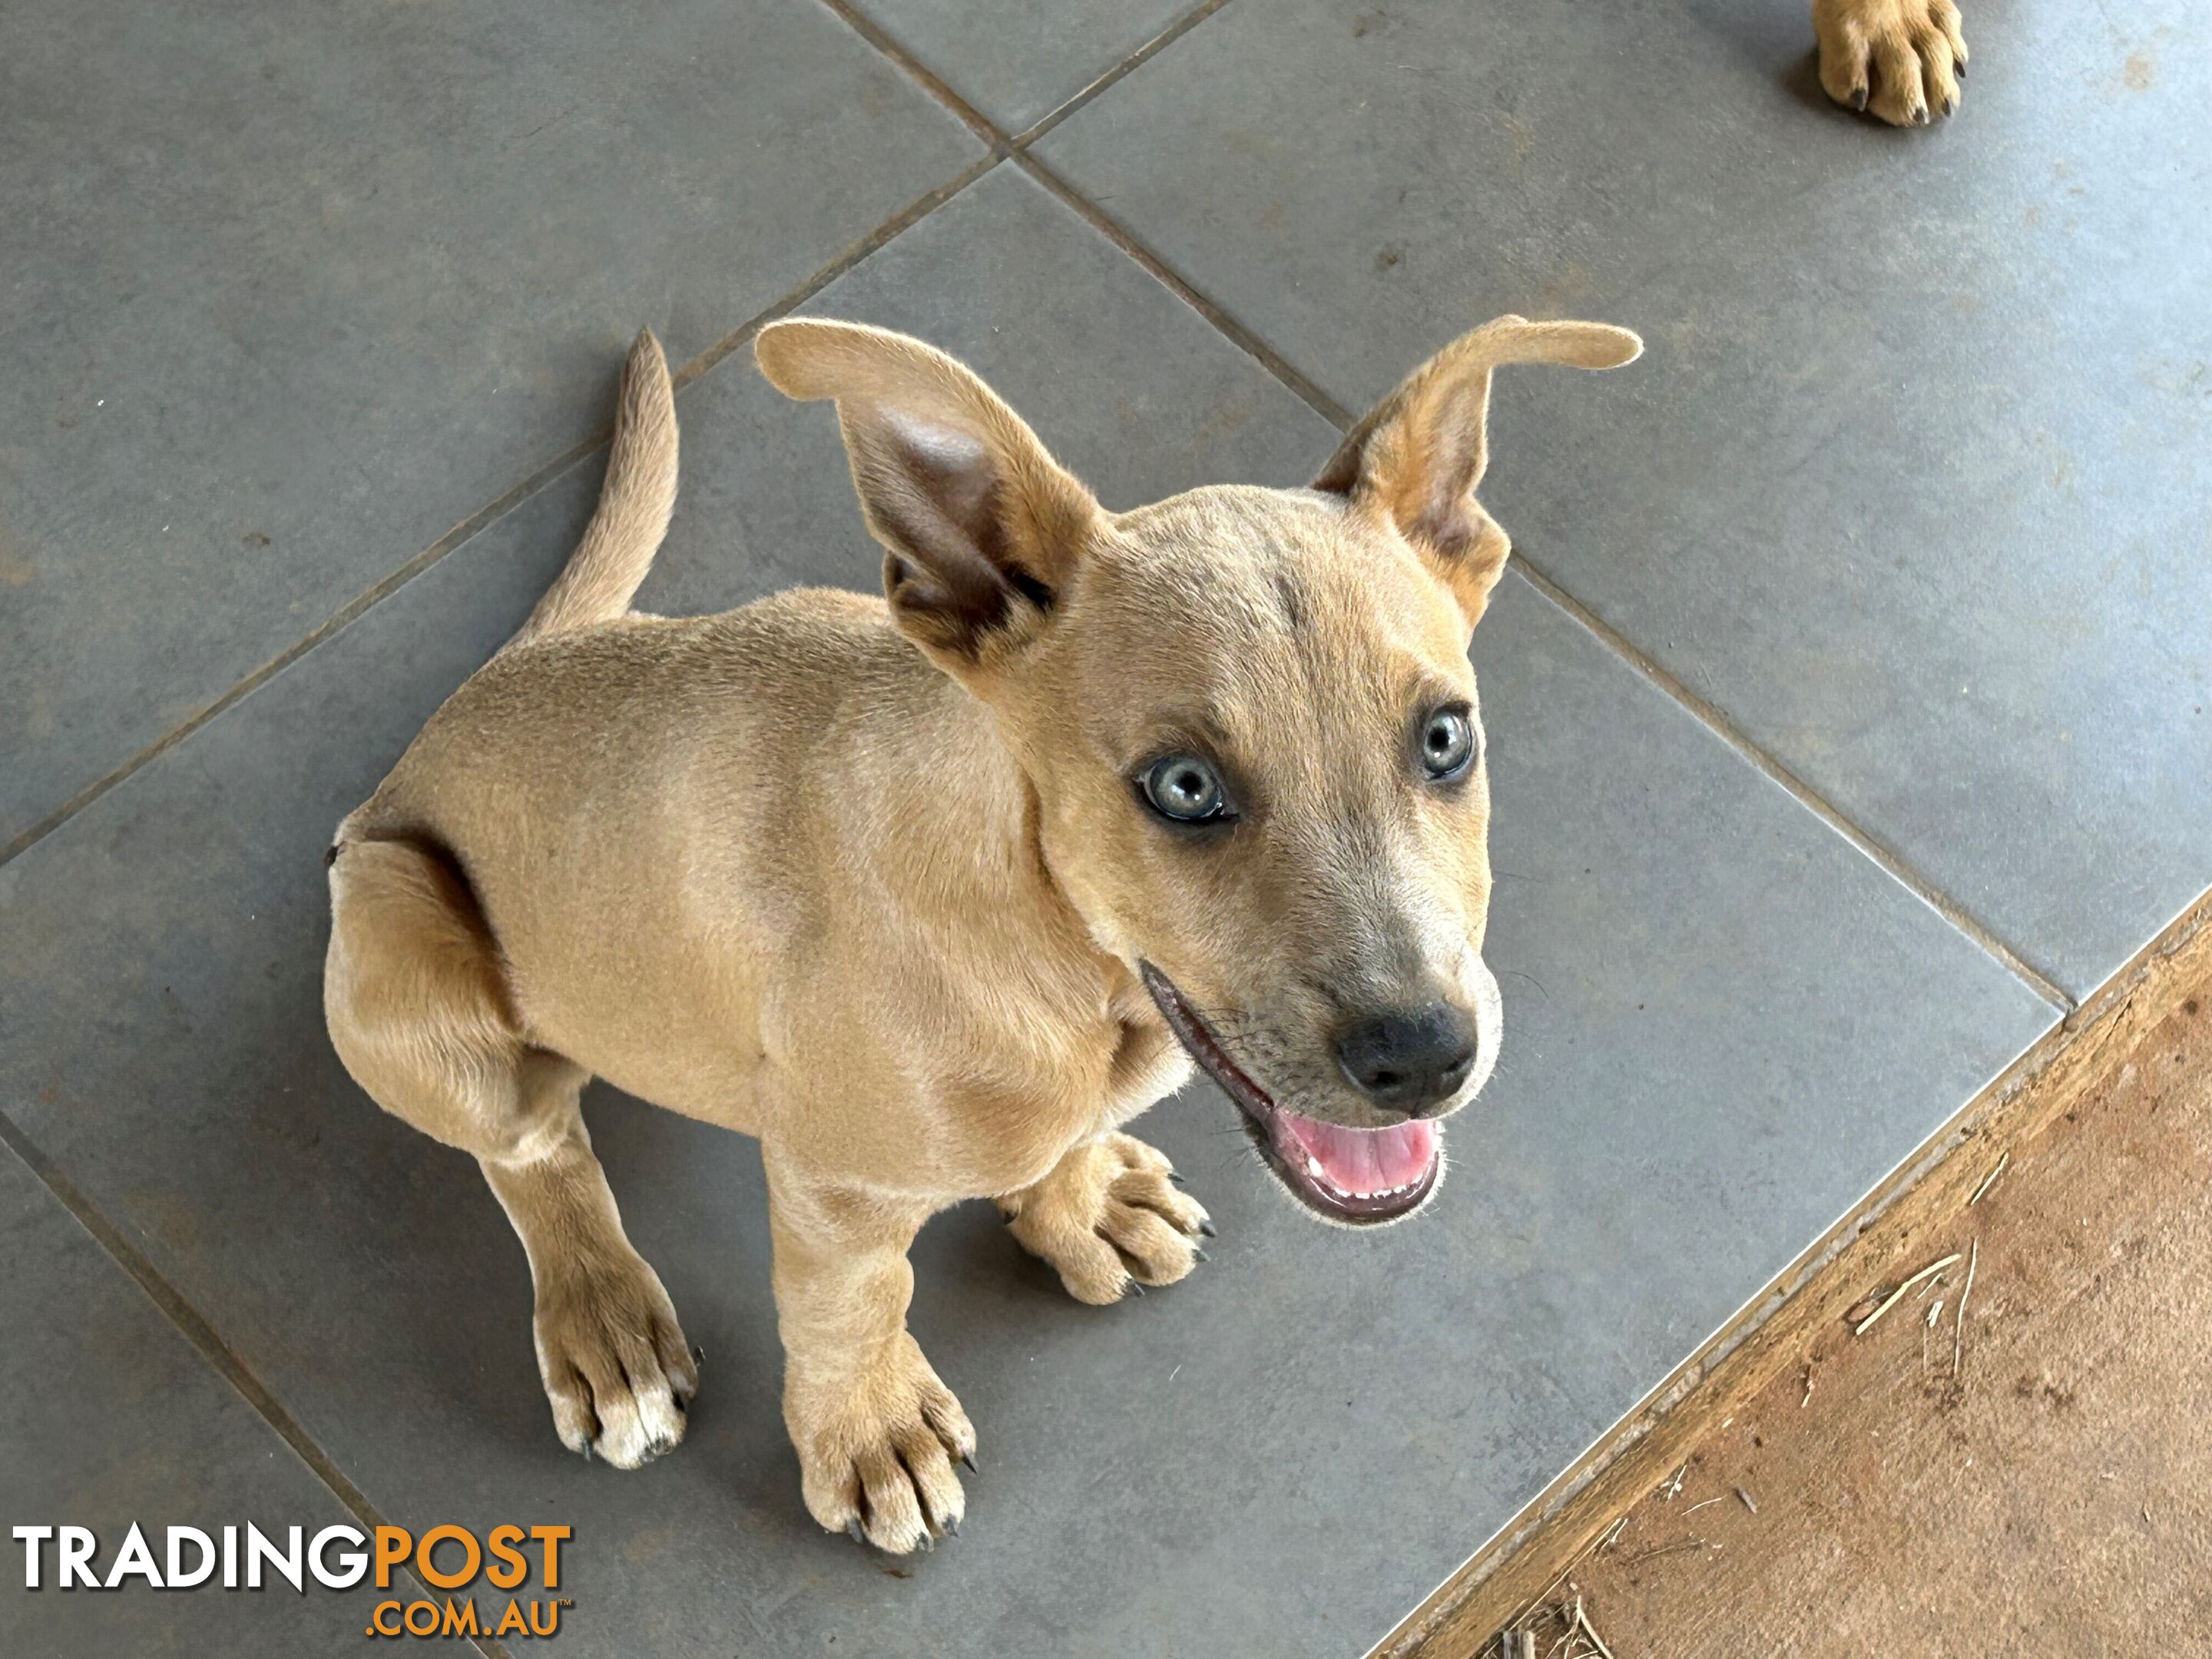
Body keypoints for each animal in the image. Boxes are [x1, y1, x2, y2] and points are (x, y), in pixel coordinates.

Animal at [323, 312, 1645, 1557]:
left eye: (1445, 738)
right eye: (1182, 787)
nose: (1424, 1057)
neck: (1063, 958)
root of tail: (455, 710)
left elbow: (1060, 1142)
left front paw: (1079, 1200)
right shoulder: (834, 1188)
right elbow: (852, 1307)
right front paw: (870, 1433)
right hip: (395, 931)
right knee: (535, 1146)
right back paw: (606, 1323)